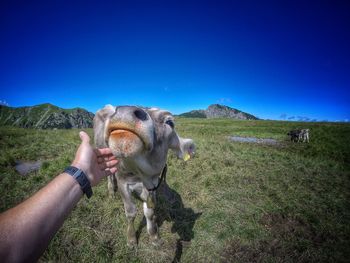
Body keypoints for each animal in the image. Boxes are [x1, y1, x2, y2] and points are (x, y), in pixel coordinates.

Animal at [93, 105, 196, 248]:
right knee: (109, 175)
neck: (142, 177)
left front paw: (154, 236)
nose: (124, 111)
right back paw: (111, 192)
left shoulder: (153, 186)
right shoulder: (123, 182)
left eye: (170, 122)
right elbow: (131, 212)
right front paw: (131, 239)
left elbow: (150, 213)